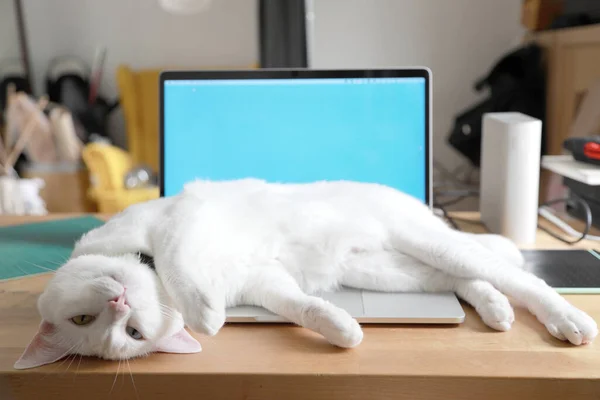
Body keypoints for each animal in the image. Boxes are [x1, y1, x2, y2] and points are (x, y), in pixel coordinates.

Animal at [14, 180, 596, 370]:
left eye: (129, 331)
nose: (120, 306)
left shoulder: (185, 218)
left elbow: (178, 263)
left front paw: (206, 316)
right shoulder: (264, 283)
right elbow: (300, 306)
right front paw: (342, 329)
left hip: (427, 242)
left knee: (525, 281)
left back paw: (568, 321)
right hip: (392, 270)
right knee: (464, 283)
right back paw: (495, 310)